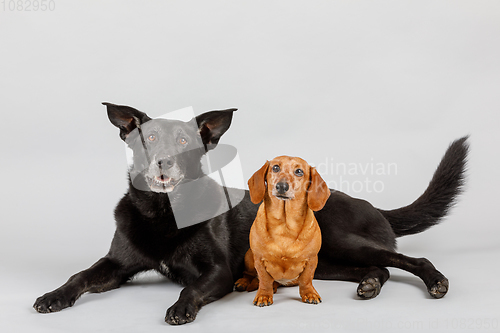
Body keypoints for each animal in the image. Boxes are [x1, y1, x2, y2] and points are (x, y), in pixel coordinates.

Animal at [34, 102, 468, 322]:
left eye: (185, 141)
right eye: (150, 137)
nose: (163, 162)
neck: (164, 211)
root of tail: (374, 206)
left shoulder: (216, 272)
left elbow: (191, 287)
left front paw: (180, 307)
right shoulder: (116, 265)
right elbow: (79, 276)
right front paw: (54, 296)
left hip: (342, 239)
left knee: (406, 259)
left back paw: (435, 281)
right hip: (326, 262)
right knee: (379, 268)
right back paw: (370, 285)